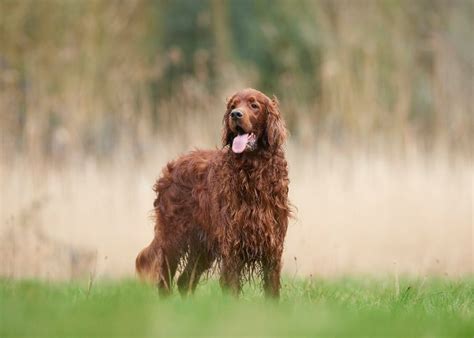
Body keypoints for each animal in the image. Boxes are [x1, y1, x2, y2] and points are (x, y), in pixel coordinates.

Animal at [135, 88, 290, 298]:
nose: (235, 115)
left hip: (203, 246)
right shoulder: (232, 246)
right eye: (233, 106)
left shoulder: (272, 246)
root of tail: (171, 167)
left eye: (254, 105)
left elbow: (272, 290)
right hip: (173, 238)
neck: (252, 172)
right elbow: (232, 287)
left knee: (184, 281)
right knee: (165, 280)